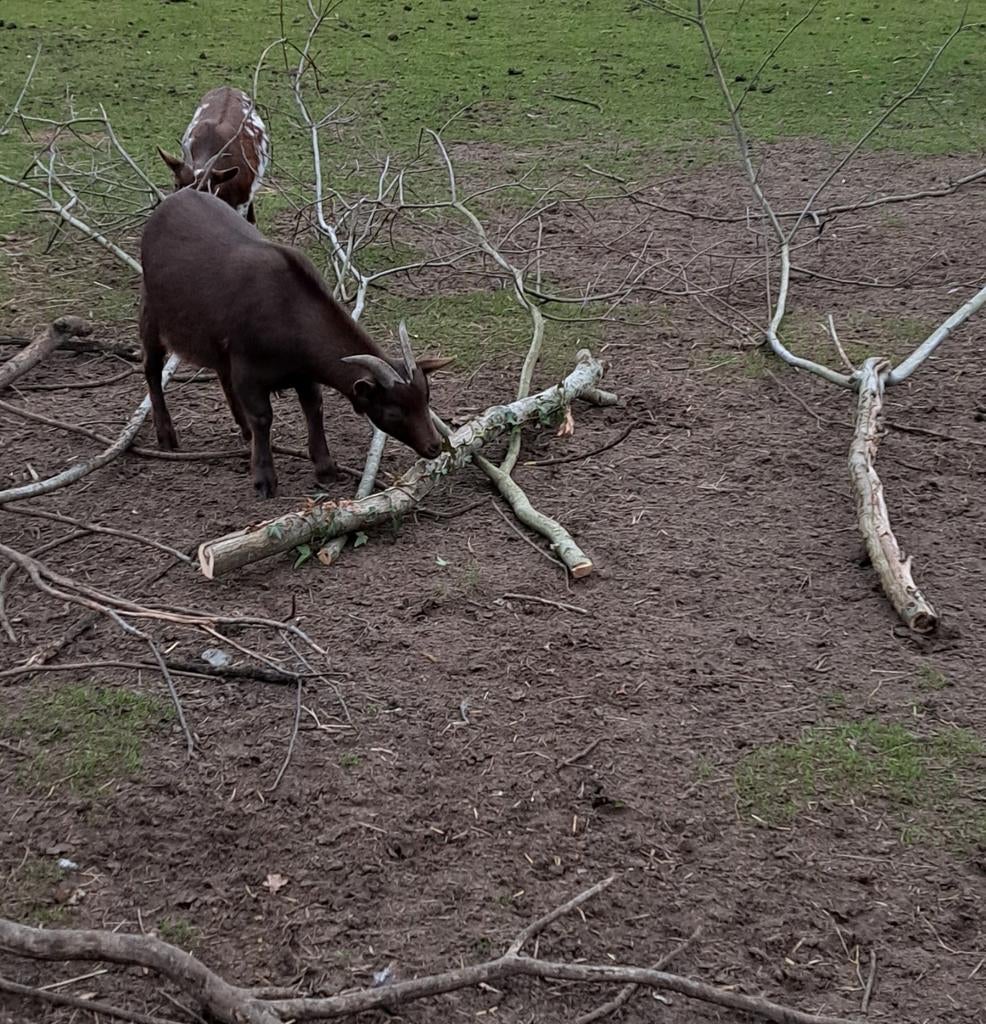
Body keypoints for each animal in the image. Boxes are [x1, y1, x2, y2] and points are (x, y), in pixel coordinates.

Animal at [139, 189, 453, 499]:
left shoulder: (303, 373)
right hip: (152, 311)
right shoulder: (247, 370)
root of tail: (173, 198)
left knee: (221, 374)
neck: (288, 310)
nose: (434, 447)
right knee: (152, 368)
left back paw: (243, 432)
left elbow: (314, 407)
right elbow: (263, 417)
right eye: (393, 412)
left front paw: (326, 468)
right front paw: (264, 480)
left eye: (426, 399)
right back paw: (166, 435)